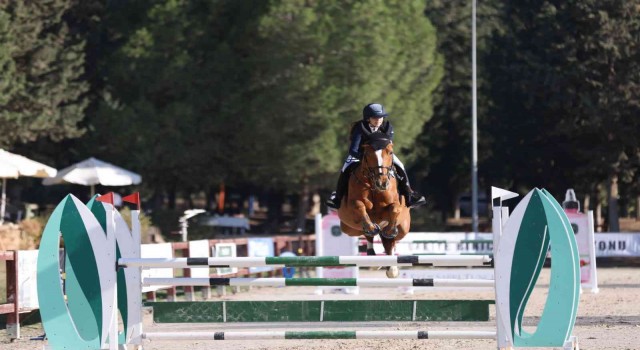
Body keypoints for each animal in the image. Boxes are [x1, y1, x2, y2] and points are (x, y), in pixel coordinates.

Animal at [338, 133, 412, 278]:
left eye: (390, 152)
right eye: (367, 153)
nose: (382, 183)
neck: (373, 186)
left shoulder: (395, 204)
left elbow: (394, 208)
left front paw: (390, 230)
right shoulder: (353, 205)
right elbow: (360, 207)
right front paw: (372, 227)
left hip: (404, 228)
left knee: (390, 242)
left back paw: (391, 267)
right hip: (349, 228)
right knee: (368, 235)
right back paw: (373, 258)